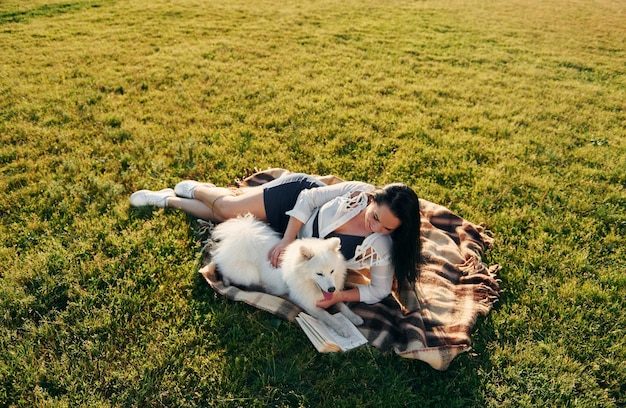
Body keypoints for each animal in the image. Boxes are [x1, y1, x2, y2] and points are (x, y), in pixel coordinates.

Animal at [210, 215, 364, 336]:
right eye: (319, 274)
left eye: (332, 271)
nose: (332, 289)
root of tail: (243, 235)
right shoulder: (307, 302)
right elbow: (328, 316)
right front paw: (342, 328)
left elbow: (341, 304)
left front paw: (354, 317)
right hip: (247, 274)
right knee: (221, 266)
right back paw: (227, 280)